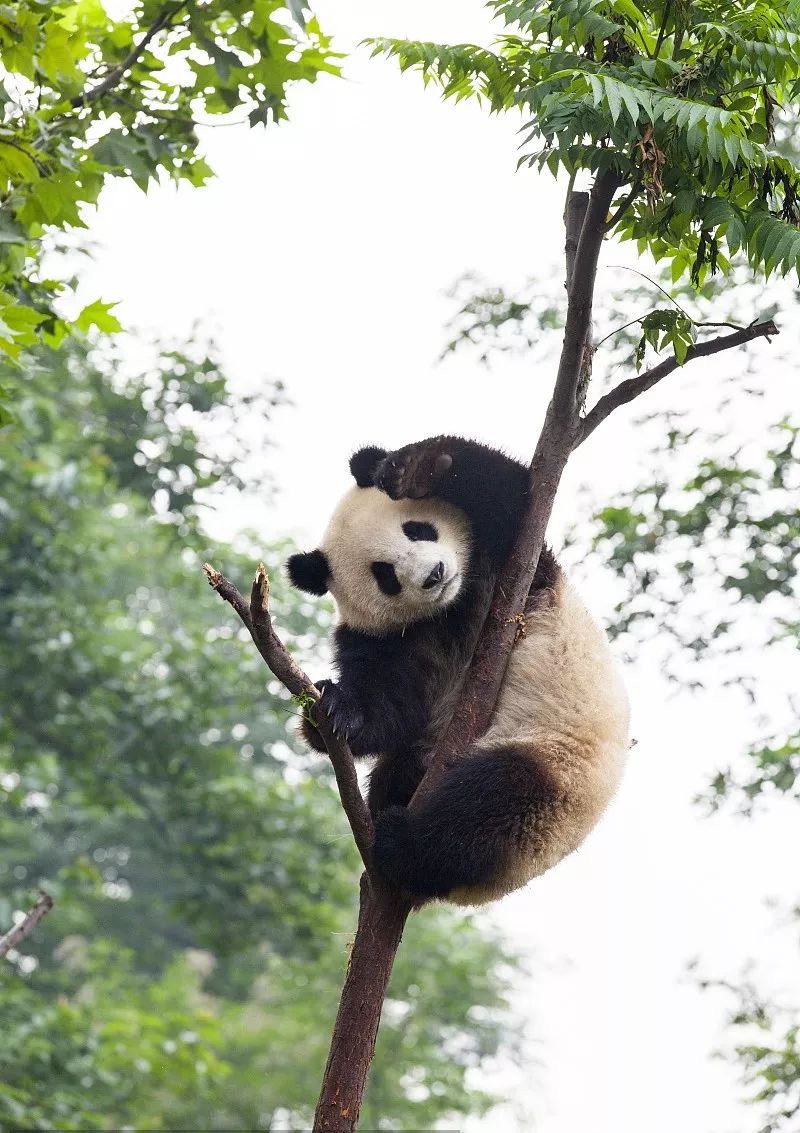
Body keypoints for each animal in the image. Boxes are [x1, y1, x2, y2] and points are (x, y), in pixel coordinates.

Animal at [286, 432, 630, 901]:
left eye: (417, 529)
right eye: (384, 574)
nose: (433, 574)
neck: (454, 605)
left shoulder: (517, 568)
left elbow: (512, 495)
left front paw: (411, 469)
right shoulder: (389, 640)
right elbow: (390, 709)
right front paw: (331, 710)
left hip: (561, 764)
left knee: (492, 805)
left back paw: (404, 843)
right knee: (456, 795)